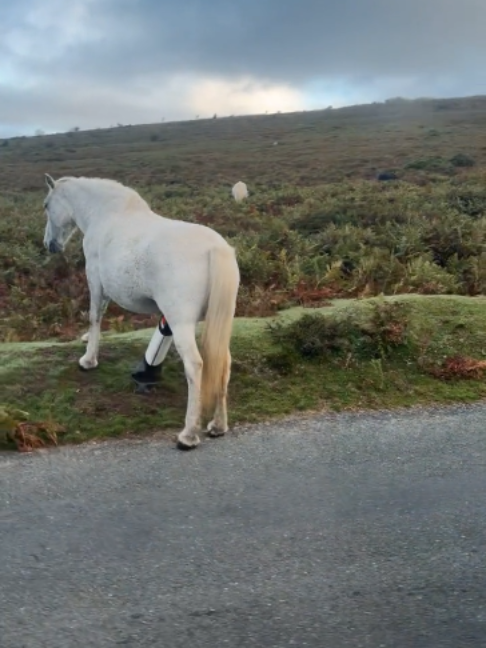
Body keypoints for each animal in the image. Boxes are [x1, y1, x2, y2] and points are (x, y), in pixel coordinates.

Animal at [42, 174, 240, 450]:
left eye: (46, 205)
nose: (49, 244)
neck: (106, 213)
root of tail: (215, 248)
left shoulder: (96, 282)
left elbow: (95, 317)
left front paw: (88, 360)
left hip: (182, 324)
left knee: (195, 365)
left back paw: (188, 435)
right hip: (217, 323)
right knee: (222, 362)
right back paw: (218, 425)